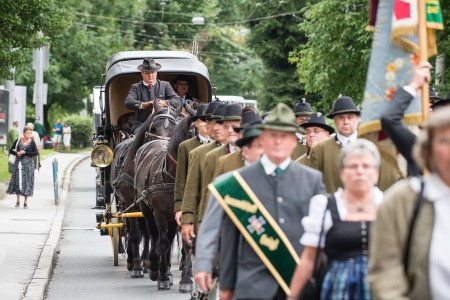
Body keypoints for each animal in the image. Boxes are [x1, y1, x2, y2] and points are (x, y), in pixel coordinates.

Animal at [110, 101, 180, 278]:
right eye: (153, 128)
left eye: (174, 129)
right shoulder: (132, 204)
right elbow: (135, 234)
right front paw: (136, 265)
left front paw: (155, 265)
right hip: (126, 203)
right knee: (134, 229)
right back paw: (134, 260)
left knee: (147, 232)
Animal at [134, 106, 196, 290]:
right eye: (195, 132)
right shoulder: (160, 213)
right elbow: (162, 243)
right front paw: (161, 277)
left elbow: (186, 243)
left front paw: (186, 280)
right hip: (146, 210)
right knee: (153, 235)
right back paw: (153, 266)